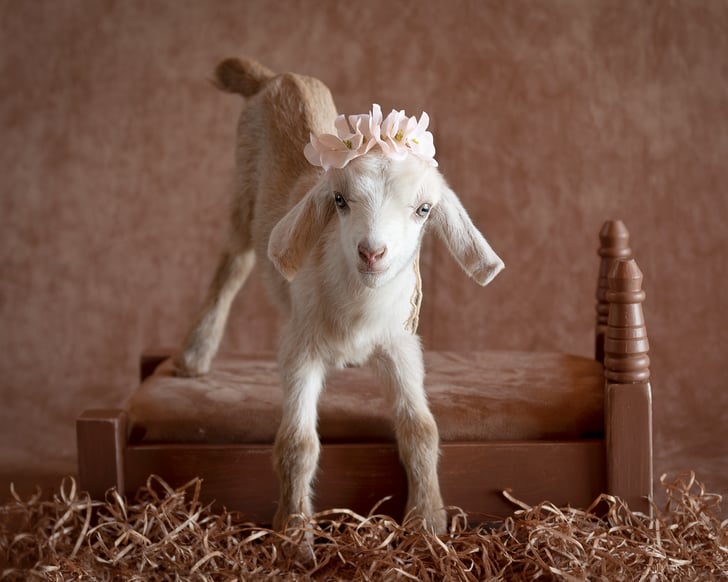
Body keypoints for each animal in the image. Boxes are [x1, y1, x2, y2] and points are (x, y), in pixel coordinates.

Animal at [174, 57, 505, 534]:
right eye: (339, 200)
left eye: (424, 209)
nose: (372, 252)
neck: (359, 308)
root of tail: (277, 78)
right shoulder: (299, 347)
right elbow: (297, 444)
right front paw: (294, 533)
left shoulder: (400, 344)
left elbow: (422, 429)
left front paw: (427, 520)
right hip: (241, 195)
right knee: (232, 263)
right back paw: (195, 353)